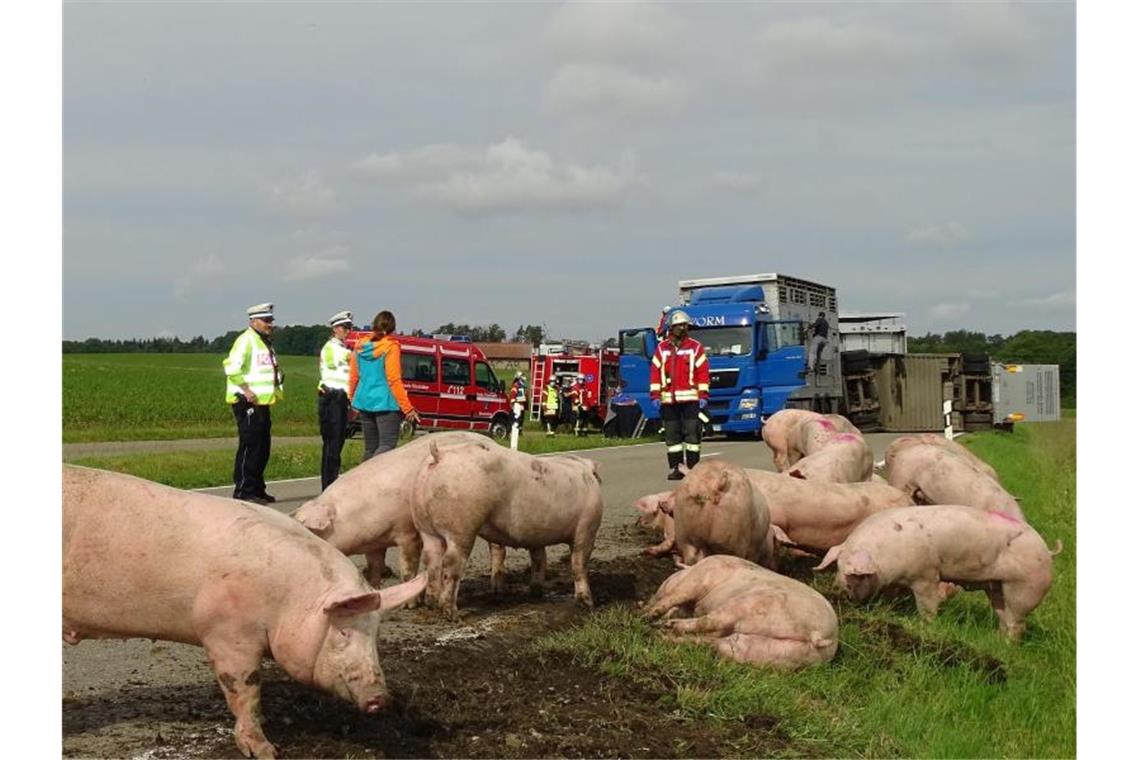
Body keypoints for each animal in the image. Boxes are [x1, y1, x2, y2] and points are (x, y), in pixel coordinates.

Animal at [60, 467, 424, 756]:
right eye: (343, 631)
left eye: (376, 634)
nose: (382, 699)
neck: (290, 599)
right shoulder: (226, 635)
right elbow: (245, 689)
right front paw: (266, 751)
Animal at [289, 430, 485, 587]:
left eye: (309, 531)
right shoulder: (373, 543)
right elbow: (373, 566)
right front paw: (375, 584)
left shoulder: (407, 532)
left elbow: (408, 564)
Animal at [412, 437, 606, 619]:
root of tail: (439, 455)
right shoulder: (587, 529)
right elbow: (578, 564)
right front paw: (588, 604)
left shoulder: (537, 535)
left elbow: (539, 559)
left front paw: (536, 593)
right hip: (461, 528)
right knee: (451, 563)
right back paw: (451, 613)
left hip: (425, 527)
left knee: (431, 560)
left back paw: (431, 603)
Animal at [816, 505, 1053, 642]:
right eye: (837, 567)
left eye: (855, 575)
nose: (839, 591)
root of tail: (1048, 552)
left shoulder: (925, 574)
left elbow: (928, 604)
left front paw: (923, 626)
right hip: (997, 586)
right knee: (1003, 614)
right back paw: (996, 640)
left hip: (1025, 587)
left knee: (1017, 622)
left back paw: (1008, 645)